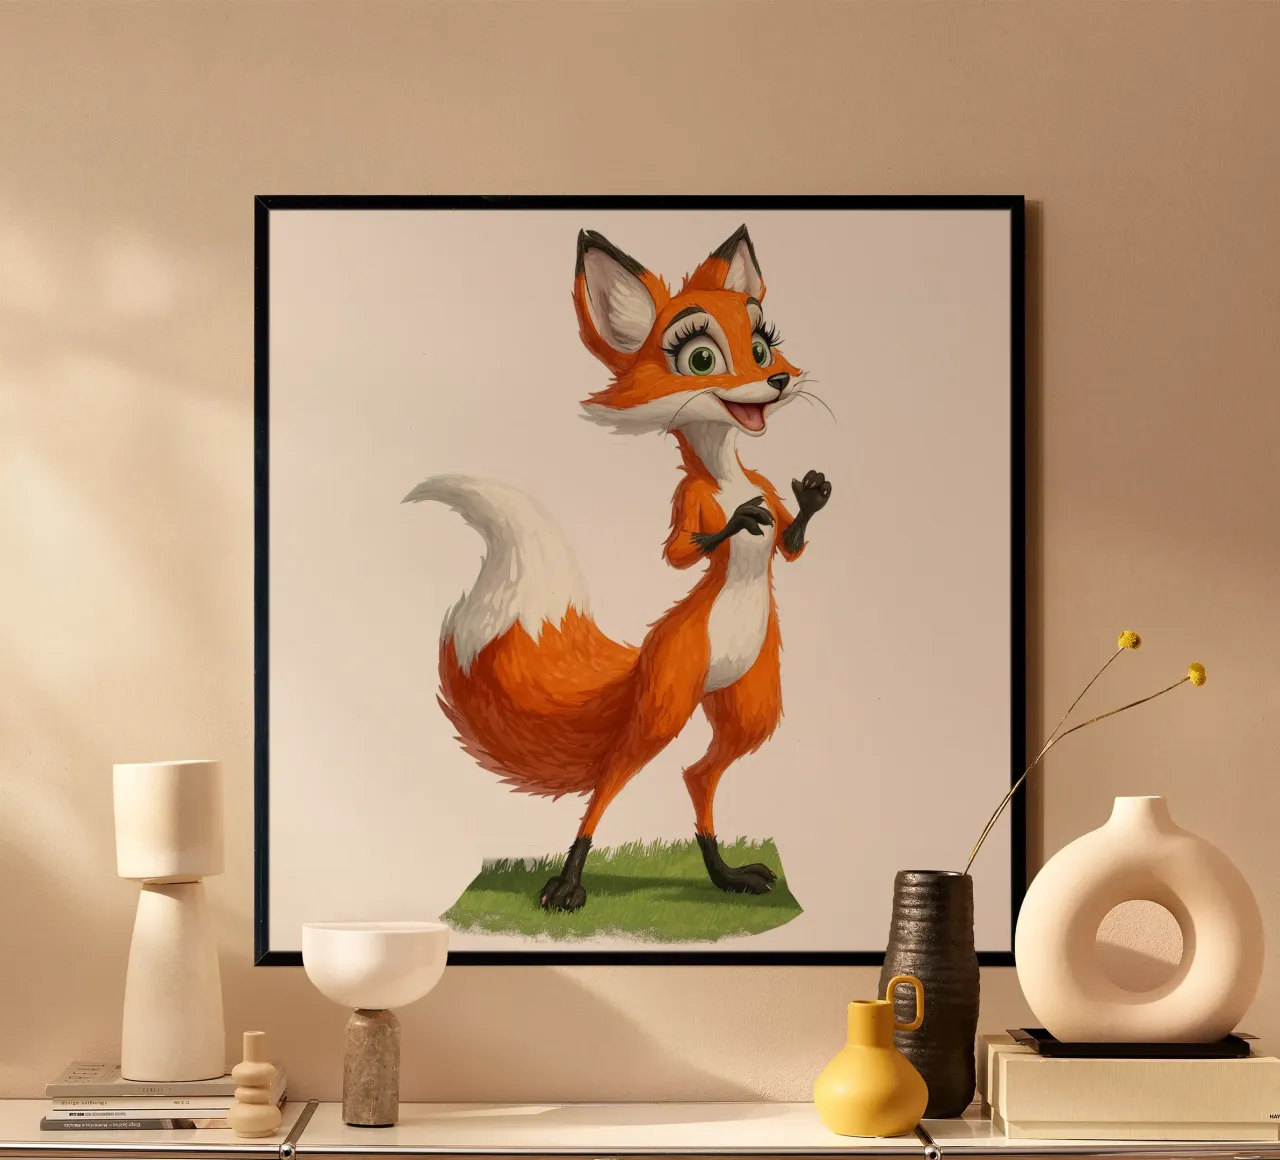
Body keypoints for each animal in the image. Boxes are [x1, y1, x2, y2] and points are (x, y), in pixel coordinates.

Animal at [404, 224, 831, 913]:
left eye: (763, 345)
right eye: (702, 359)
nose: (780, 378)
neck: (729, 470)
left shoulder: (768, 489)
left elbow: (788, 544)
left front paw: (811, 500)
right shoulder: (692, 501)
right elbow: (682, 551)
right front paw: (737, 523)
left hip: (752, 705)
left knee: (697, 773)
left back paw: (724, 874)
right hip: (669, 699)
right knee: (611, 780)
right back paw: (569, 881)